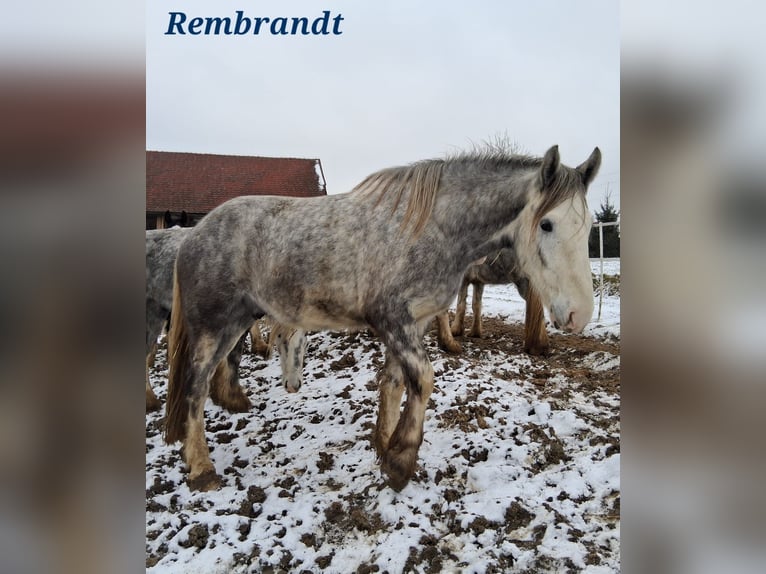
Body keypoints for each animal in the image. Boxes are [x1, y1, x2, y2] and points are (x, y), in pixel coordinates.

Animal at [164, 144, 600, 491]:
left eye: (591, 227)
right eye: (547, 224)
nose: (579, 315)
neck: (433, 228)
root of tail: (192, 235)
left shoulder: (414, 323)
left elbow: (394, 383)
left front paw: (383, 445)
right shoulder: (393, 320)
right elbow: (422, 379)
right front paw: (400, 462)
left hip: (238, 320)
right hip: (212, 327)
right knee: (195, 386)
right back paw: (201, 469)